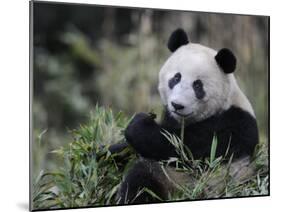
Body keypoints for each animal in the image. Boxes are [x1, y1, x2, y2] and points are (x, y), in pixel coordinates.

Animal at [112, 28, 258, 204]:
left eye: (198, 85)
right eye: (176, 77)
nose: (177, 105)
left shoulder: (232, 126)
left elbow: (183, 150)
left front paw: (138, 124)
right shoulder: (170, 117)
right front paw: (110, 150)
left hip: (186, 184)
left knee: (143, 177)